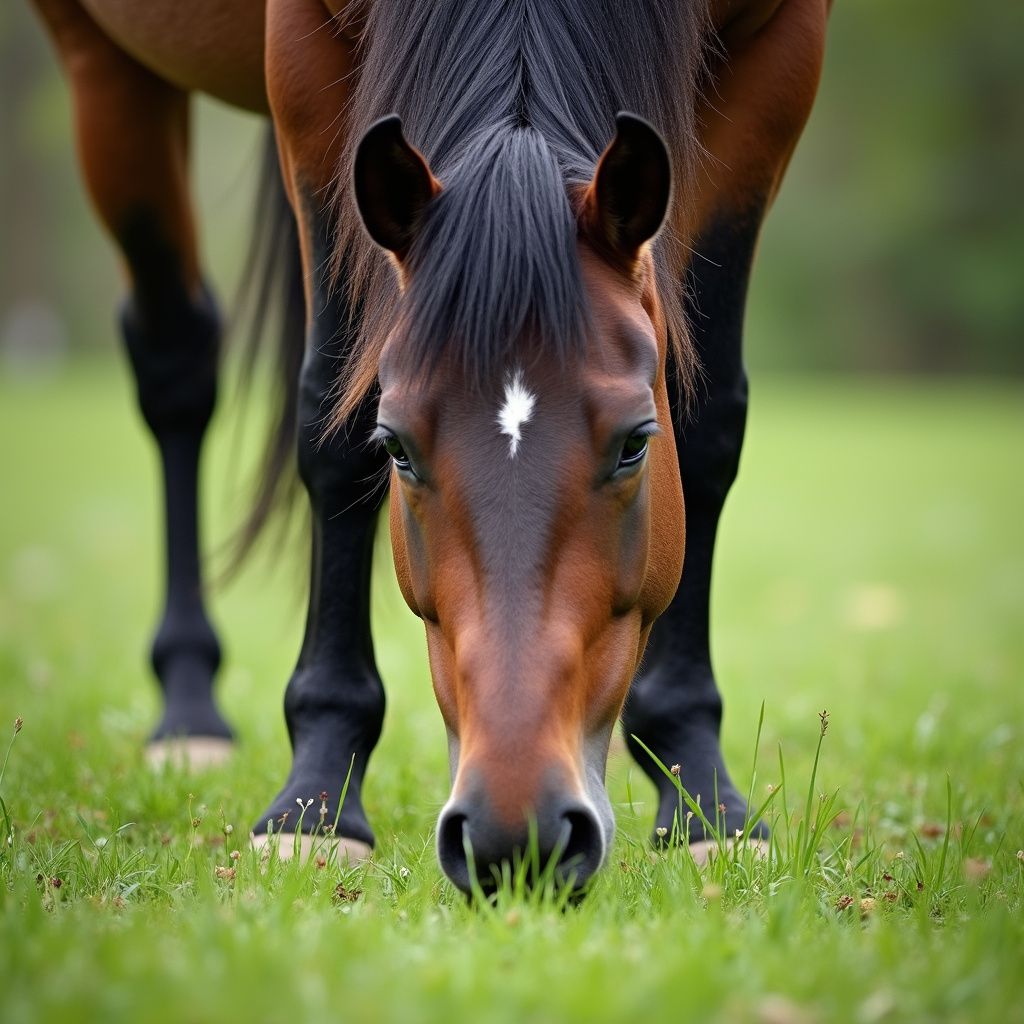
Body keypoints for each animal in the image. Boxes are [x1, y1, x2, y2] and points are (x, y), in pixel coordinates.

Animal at [29, 0, 829, 894]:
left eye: (634, 445)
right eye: (399, 448)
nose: (517, 835)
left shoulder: (781, 58)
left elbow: (708, 418)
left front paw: (702, 799)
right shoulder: (305, 67)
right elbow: (332, 424)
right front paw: (315, 801)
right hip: (106, 66)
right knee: (176, 356)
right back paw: (190, 711)